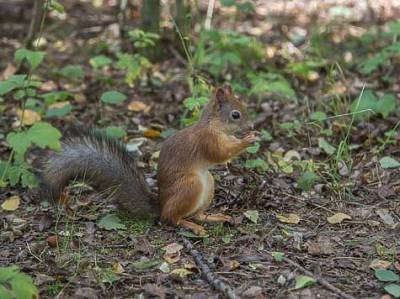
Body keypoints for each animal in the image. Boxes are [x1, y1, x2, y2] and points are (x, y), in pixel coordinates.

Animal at [40, 85, 256, 237]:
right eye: (235, 114)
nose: (252, 125)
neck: (214, 125)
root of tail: (161, 205)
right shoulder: (207, 141)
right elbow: (221, 153)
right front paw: (247, 140)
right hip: (190, 186)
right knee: (171, 218)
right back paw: (191, 226)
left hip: (208, 183)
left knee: (195, 214)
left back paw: (213, 217)